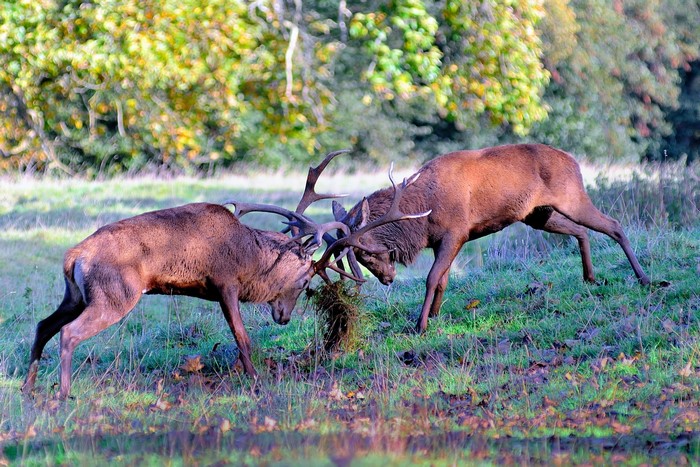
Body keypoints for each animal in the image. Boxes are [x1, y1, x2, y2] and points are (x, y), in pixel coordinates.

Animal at [22, 150, 430, 399]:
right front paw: (256, 380)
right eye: (303, 282)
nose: (283, 317)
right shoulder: (225, 283)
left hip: (75, 294)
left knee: (43, 324)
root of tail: (74, 255)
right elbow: (242, 338)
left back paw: (29, 388)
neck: (251, 258)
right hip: (115, 293)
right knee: (69, 332)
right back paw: (64, 392)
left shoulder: (216, 289)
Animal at [331, 143, 652, 333]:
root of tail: (575, 161)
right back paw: (590, 277)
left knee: (614, 225)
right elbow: (443, 279)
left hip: (571, 196)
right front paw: (434, 315)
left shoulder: (456, 232)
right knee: (582, 231)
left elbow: (433, 278)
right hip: (538, 215)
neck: (423, 214)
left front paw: (420, 325)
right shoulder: (441, 240)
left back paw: (643, 278)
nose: (387, 279)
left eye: (365, 252)